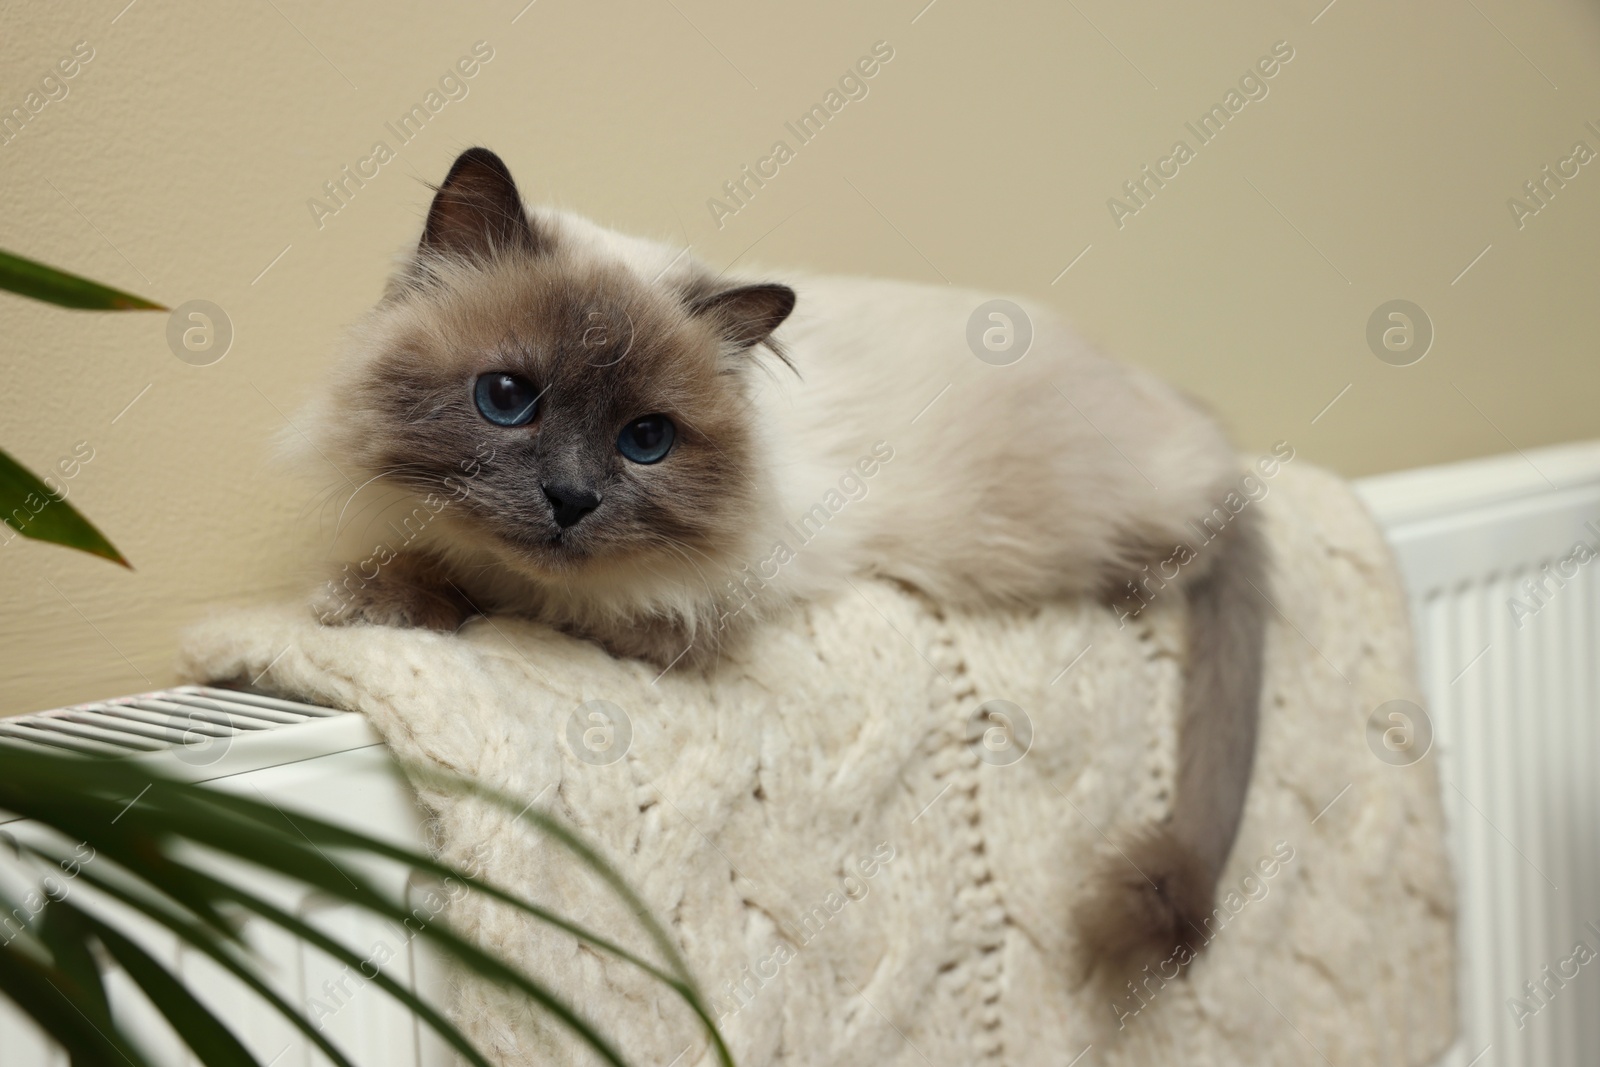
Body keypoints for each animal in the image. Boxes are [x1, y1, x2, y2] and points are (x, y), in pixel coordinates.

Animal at [305, 146, 1267, 979]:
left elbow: (496, 593)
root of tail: (1161, 392)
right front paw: (359, 595)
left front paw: (373, 603)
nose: (570, 499)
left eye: (645, 440)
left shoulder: (668, 615)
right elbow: (429, 561)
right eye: (507, 399)